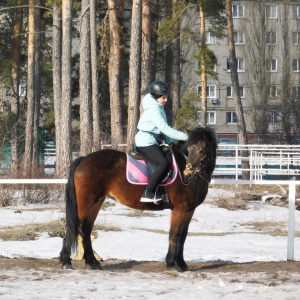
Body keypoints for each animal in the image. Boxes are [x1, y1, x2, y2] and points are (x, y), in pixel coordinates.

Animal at [59, 126, 218, 272]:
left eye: (202, 150)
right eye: (189, 150)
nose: (187, 174)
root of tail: (83, 159)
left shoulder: (189, 210)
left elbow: (183, 236)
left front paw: (182, 264)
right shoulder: (180, 209)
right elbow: (175, 235)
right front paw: (174, 264)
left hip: (97, 202)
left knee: (85, 229)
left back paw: (93, 263)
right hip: (85, 202)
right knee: (73, 227)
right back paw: (66, 261)